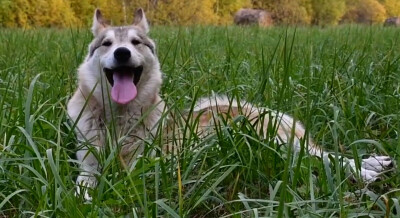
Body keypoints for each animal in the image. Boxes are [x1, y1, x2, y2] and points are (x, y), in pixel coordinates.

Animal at [67, 8, 392, 201]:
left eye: (136, 42)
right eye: (107, 44)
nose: (122, 53)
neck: (118, 120)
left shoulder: (147, 163)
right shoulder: (88, 165)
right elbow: (83, 183)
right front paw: (83, 199)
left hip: (269, 140)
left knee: (323, 158)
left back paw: (367, 169)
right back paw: (373, 164)